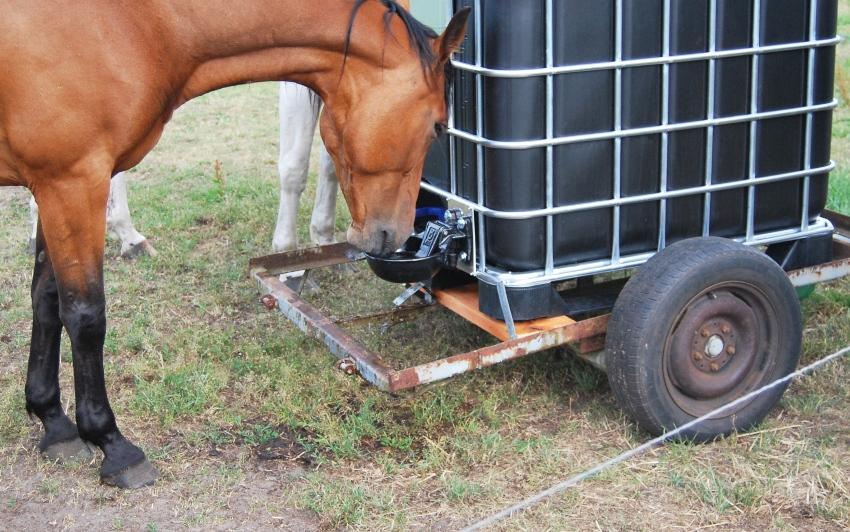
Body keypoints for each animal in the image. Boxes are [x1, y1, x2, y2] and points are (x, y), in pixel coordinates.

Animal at [0, 0, 468, 488]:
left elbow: (46, 300)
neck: (137, 25)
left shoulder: (54, 188)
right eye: (439, 126)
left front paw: (53, 423)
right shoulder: (71, 182)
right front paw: (111, 443)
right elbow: (84, 315)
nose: (393, 234)